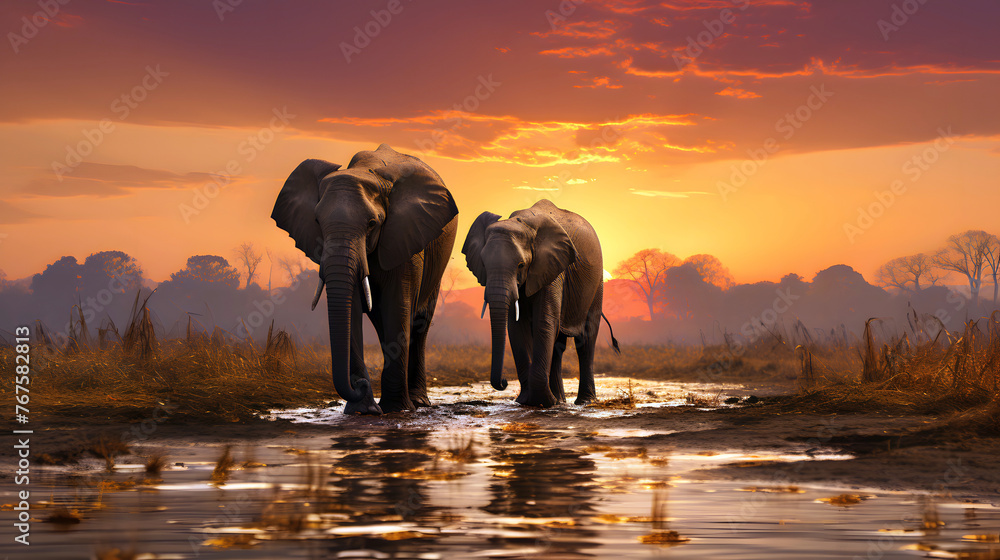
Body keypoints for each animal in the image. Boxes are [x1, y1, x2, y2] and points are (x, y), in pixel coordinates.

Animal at [274, 144, 460, 416]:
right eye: (317, 221)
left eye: (372, 223)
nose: (361, 385)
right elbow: (351, 309)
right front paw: (364, 410)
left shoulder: (405, 237)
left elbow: (398, 305)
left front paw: (395, 409)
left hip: (438, 260)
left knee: (419, 322)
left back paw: (417, 402)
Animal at [462, 200, 616, 406]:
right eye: (484, 265)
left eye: (520, 265)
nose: (503, 382)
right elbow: (516, 327)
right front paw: (528, 401)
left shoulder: (552, 268)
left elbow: (544, 320)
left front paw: (540, 401)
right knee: (558, 345)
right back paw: (559, 401)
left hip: (596, 283)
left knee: (586, 340)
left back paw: (584, 402)